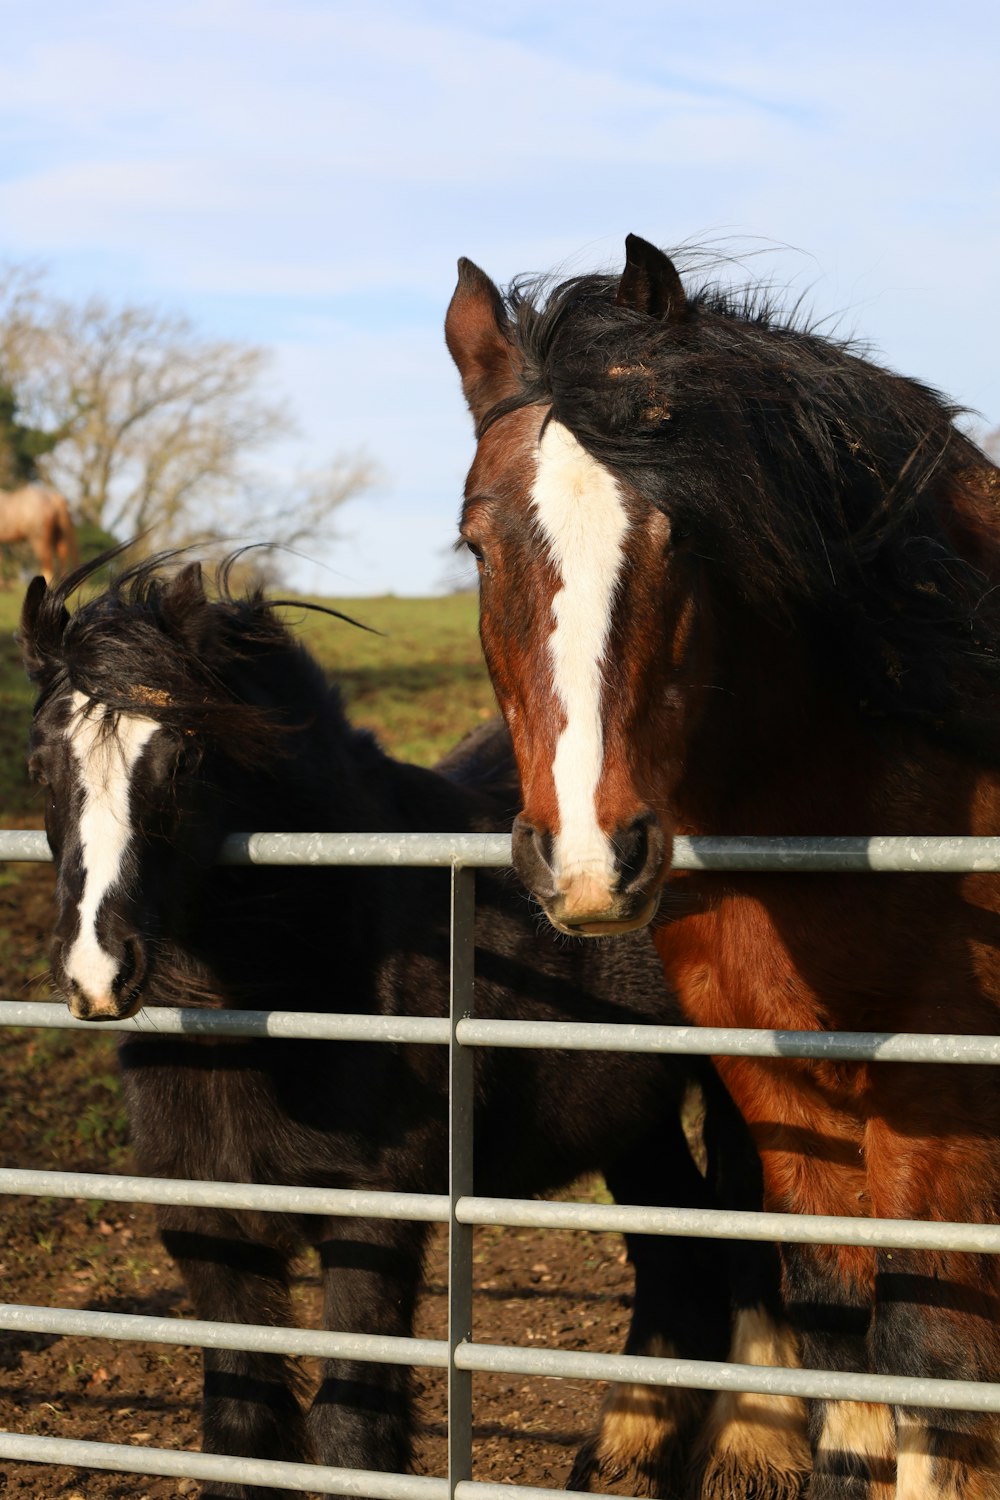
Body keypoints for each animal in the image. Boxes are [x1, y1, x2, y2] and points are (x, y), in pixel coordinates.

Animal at [19, 558, 779, 1500]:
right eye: (39, 763)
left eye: (184, 757)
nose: (96, 970)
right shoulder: (211, 1227)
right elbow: (239, 1429)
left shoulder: (374, 1222)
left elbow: (352, 1435)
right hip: (633, 1120)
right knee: (679, 1260)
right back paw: (619, 1463)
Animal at [449, 237, 1000, 1500]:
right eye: (477, 547)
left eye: (683, 538)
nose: (588, 859)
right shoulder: (781, 1087)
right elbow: (839, 1325)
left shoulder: (940, 1105)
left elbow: (934, 1372)